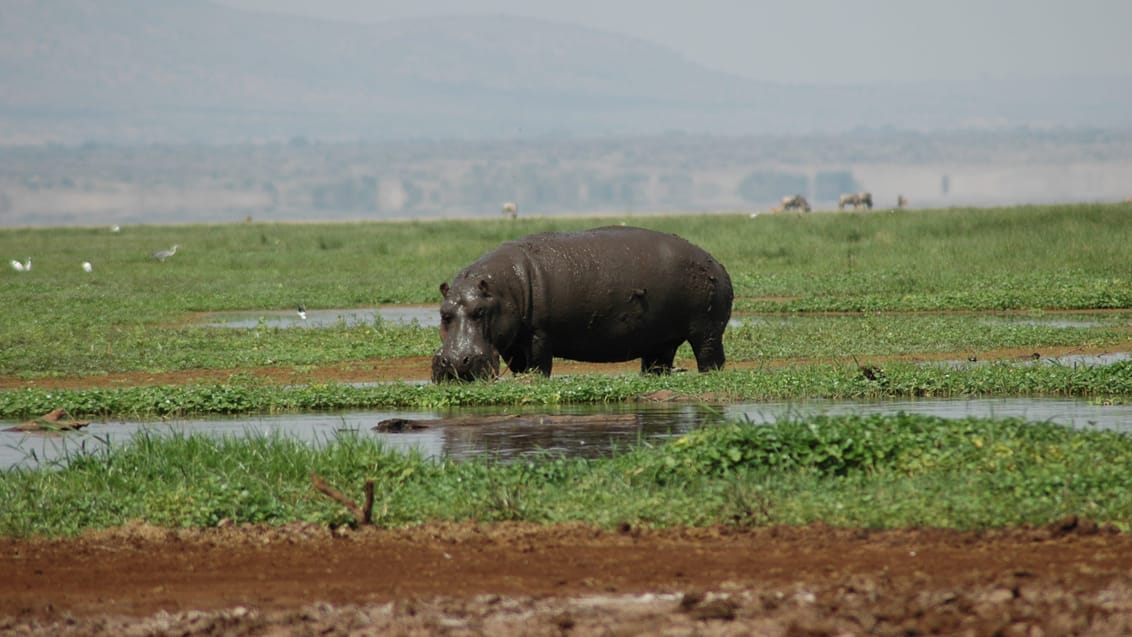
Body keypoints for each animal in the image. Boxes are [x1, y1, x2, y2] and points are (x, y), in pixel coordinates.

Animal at [432, 225, 733, 382]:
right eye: (443, 313)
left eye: (480, 311)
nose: (455, 361)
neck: (502, 291)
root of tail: (716, 263)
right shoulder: (513, 343)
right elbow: (519, 366)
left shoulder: (539, 335)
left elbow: (539, 365)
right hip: (660, 341)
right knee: (657, 363)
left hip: (707, 331)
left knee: (711, 357)